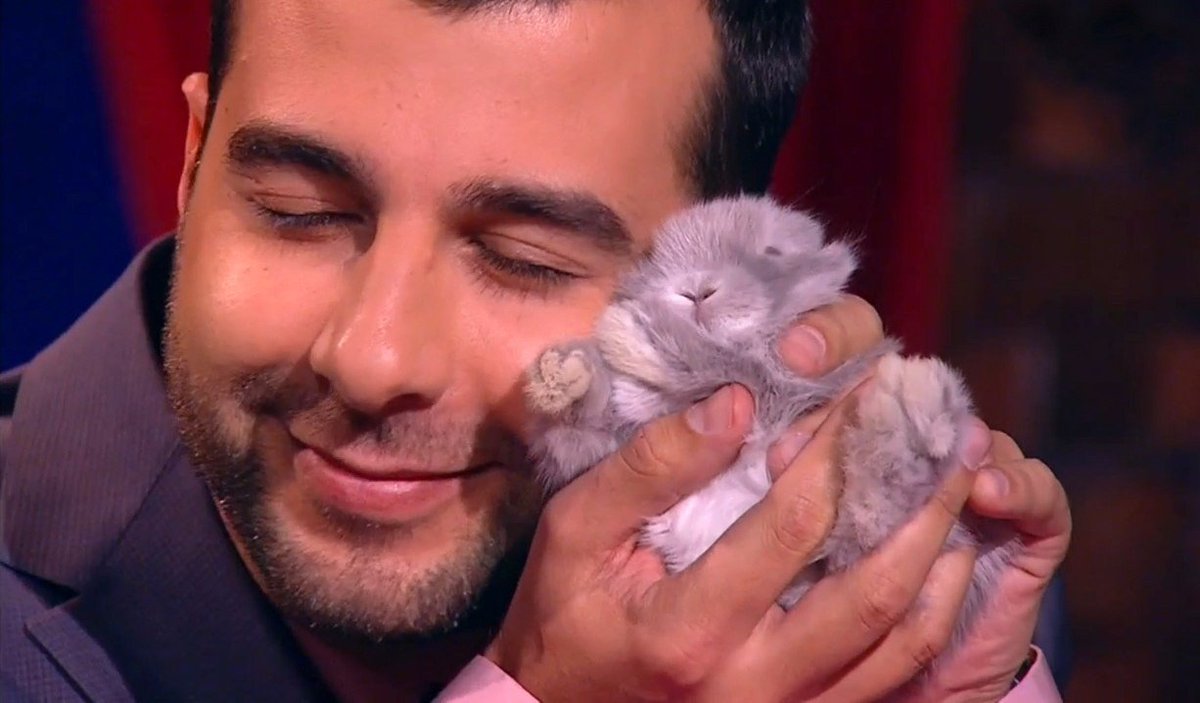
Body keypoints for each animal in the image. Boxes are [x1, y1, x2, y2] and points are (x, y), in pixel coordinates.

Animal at [522, 194, 1018, 667]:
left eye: (772, 252)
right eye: (652, 260)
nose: (695, 290)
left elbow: (713, 362)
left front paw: (634, 336)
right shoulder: (602, 444)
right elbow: (581, 429)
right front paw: (564, 373)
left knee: (869, 521)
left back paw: (911, 404)